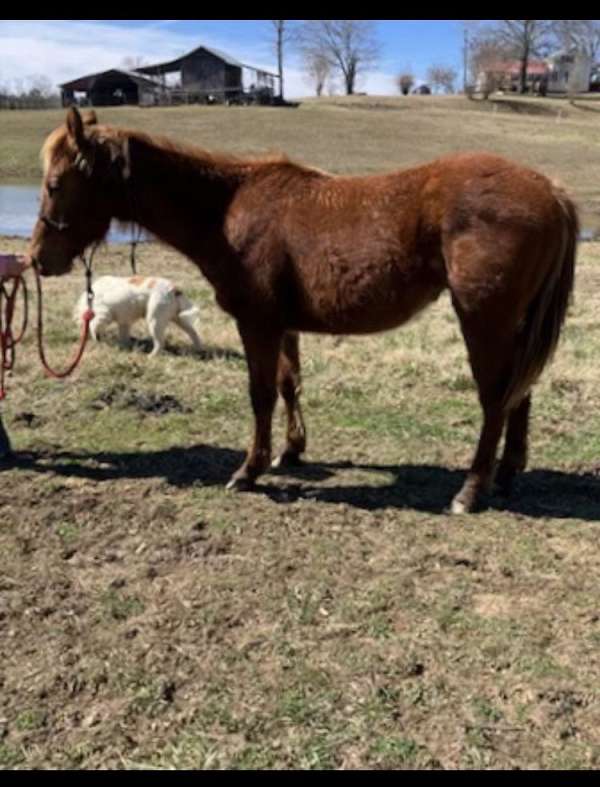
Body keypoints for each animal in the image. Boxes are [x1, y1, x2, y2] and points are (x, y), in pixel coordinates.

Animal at [73, 274, 203, 354]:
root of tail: (174, 289)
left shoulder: (104, 314)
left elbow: (94, 326)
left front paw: (98, 340)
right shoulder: (124, 321)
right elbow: (124, 336)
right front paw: (125, 347)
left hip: (154, 320)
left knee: (160, 342)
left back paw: (151, 356)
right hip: (177, 318)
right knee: (193, 332)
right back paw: (199, 349)